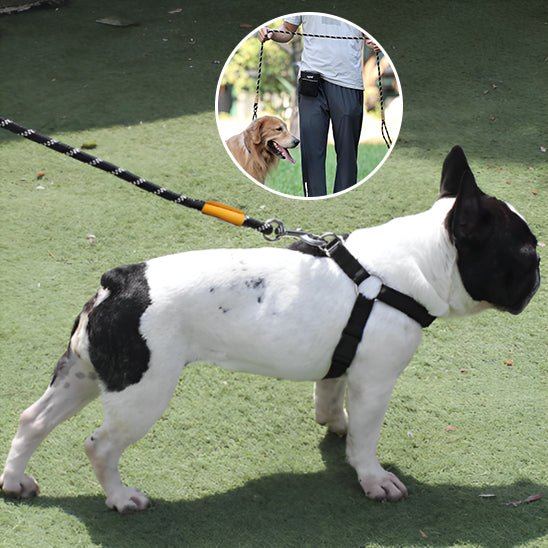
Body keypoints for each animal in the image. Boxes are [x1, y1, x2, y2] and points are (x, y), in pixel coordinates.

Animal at [1, 146, 540, 510]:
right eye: (525, 251)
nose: (539, 272)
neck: (415, 264)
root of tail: (120, 281)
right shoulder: (376, 381)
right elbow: (367, 437)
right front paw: (372, 477)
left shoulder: (343, 365)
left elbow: (330, 397)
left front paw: (335, 427)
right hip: (142, 392)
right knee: (100, 445)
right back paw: (120, 496)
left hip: (86, 374)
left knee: (33, 420)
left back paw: (15, 482)